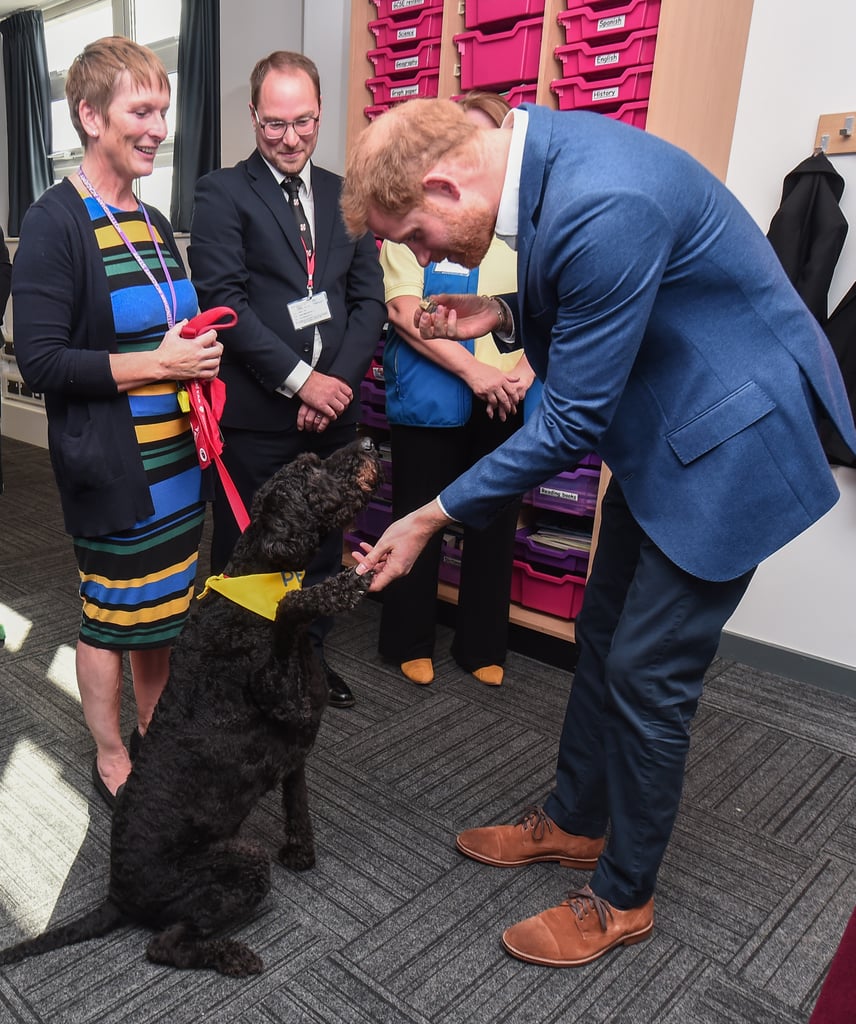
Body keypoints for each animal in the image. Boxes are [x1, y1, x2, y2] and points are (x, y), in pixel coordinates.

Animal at [0, 436, 380, 970]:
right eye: (311, 469)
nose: (368, 439)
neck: (256, 580)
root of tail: (117, 894)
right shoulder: (285, 700)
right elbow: (290, 607)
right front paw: (336, 588)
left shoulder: (296, 750)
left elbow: (299, 807)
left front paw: (301, 855)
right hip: (239, 862)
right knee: (164, 945)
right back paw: (233, 955)